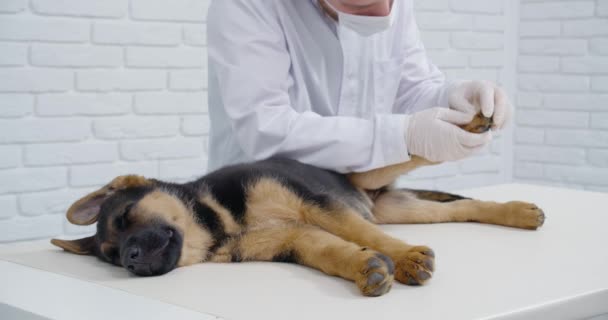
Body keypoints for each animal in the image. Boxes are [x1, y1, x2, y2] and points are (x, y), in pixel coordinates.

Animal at [53, 114, 548, 296]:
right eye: (111, 257)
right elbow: (334, 250)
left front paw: (405, 257)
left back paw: (473, 121)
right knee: (459, 208)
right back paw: (518, 212)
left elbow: (364, 235)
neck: (220, 221)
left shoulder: (320, 206)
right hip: (400, 209)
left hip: (368, 171)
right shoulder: (296, 237)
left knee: (421, 144)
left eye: (126, 217)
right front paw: (366, 267)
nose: (132, 260)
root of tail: (371, 192)